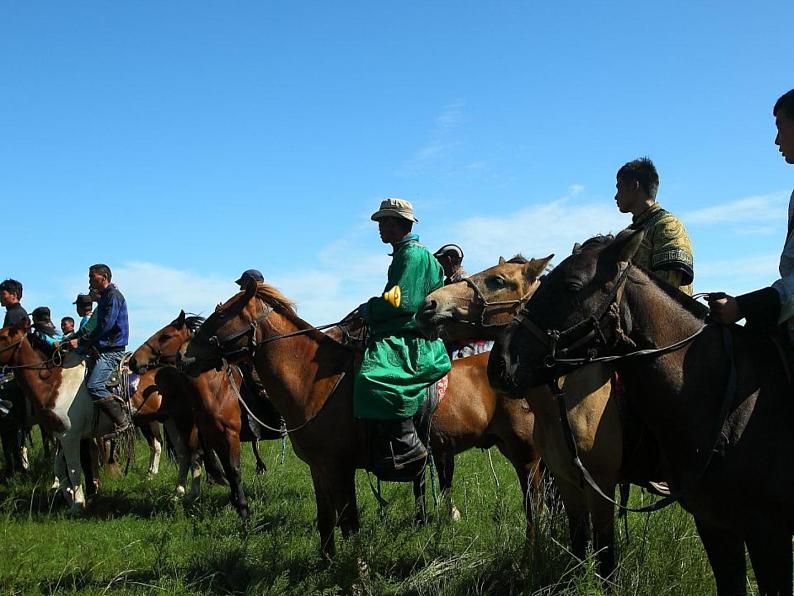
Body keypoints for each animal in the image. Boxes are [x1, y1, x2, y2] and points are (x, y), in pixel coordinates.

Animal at [179, 282, 548, 556]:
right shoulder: (319, 468)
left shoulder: (340, 468)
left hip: (526, 457)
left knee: (534, 507)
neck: (316, 383)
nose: (184, 357)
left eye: (221, 313)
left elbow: (349, 523)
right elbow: (326, 521)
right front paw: (327, 566)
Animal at [486, 229, 792, 596]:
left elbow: (605, 557)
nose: (499, 364)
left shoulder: (767, 534)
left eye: (572, 286)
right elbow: (579, 545)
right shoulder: (714, 524)